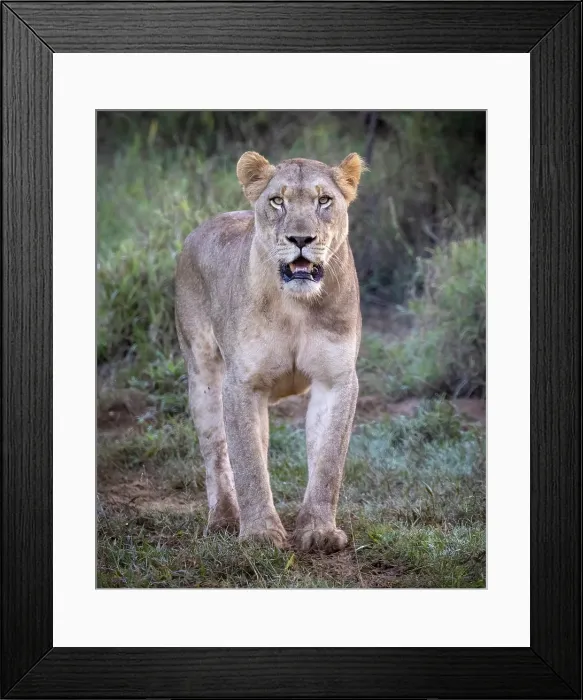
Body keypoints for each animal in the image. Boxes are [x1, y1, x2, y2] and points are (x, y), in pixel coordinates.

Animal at [175, 152, 365, 552]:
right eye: (278, 201)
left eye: (324, 200)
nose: (301, 239)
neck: (296, 306)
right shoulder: (242, 383)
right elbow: (247, 462)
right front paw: (260, 533)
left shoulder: (337, 379)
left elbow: (328, 461)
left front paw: (319, 531)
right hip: (203, 374)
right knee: (217, 452)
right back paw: (224, 519)